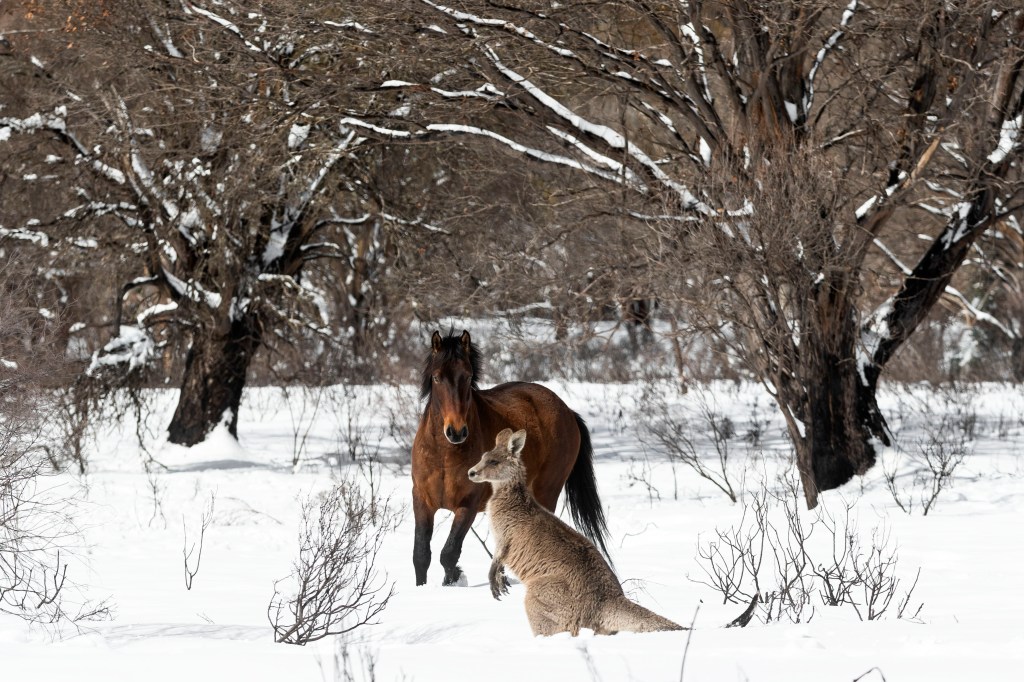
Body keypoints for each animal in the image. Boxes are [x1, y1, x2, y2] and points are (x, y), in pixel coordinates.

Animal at [411, 329, 610, 585]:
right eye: (436, 378)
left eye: (467, 376)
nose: (456, 432)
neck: (444, 455)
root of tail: (567, 410)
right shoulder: (422, 501)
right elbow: (421, 555)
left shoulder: (467, 506)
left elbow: (449, 553)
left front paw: (453, 580)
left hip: (547, 492)